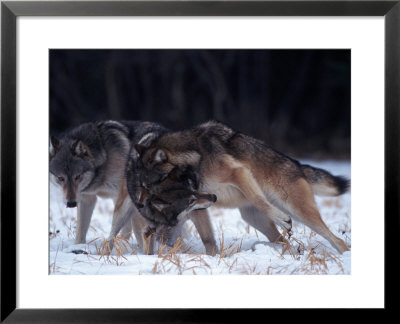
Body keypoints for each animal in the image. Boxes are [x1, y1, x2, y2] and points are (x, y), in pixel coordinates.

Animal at [48, 119, 167, 248]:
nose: (71, 203)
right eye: (60, 178)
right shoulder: (86, 198)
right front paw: (78, 246)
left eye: (77, 176)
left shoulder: (123, 197)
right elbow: (80, 232)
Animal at [129, 120, 350, 254]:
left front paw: (281, 218)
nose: (139, 204)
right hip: (254, 220)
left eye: (149, 185)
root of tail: (299, 166)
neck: (195, 157)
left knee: (336, 240)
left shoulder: (239, 173)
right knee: (283, 240)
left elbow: (258, 199)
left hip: (299, 212)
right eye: (142, 184)